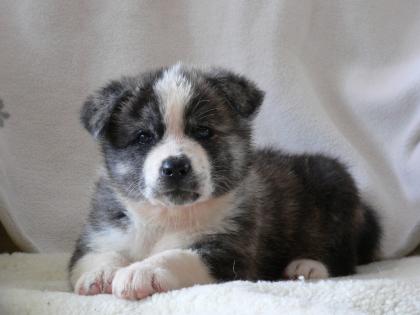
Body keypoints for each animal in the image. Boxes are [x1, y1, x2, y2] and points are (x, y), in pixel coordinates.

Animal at [69, 64, 380, 302]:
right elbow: (96, 256)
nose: (175, 167)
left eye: (204, 132)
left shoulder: (232, 253)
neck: (167, 216)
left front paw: (142, 271)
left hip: (335, 186)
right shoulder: (99, 233)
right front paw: (100, 274)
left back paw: (307, 265)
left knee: (344, 257)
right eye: (144, 136)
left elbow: (178, 255)